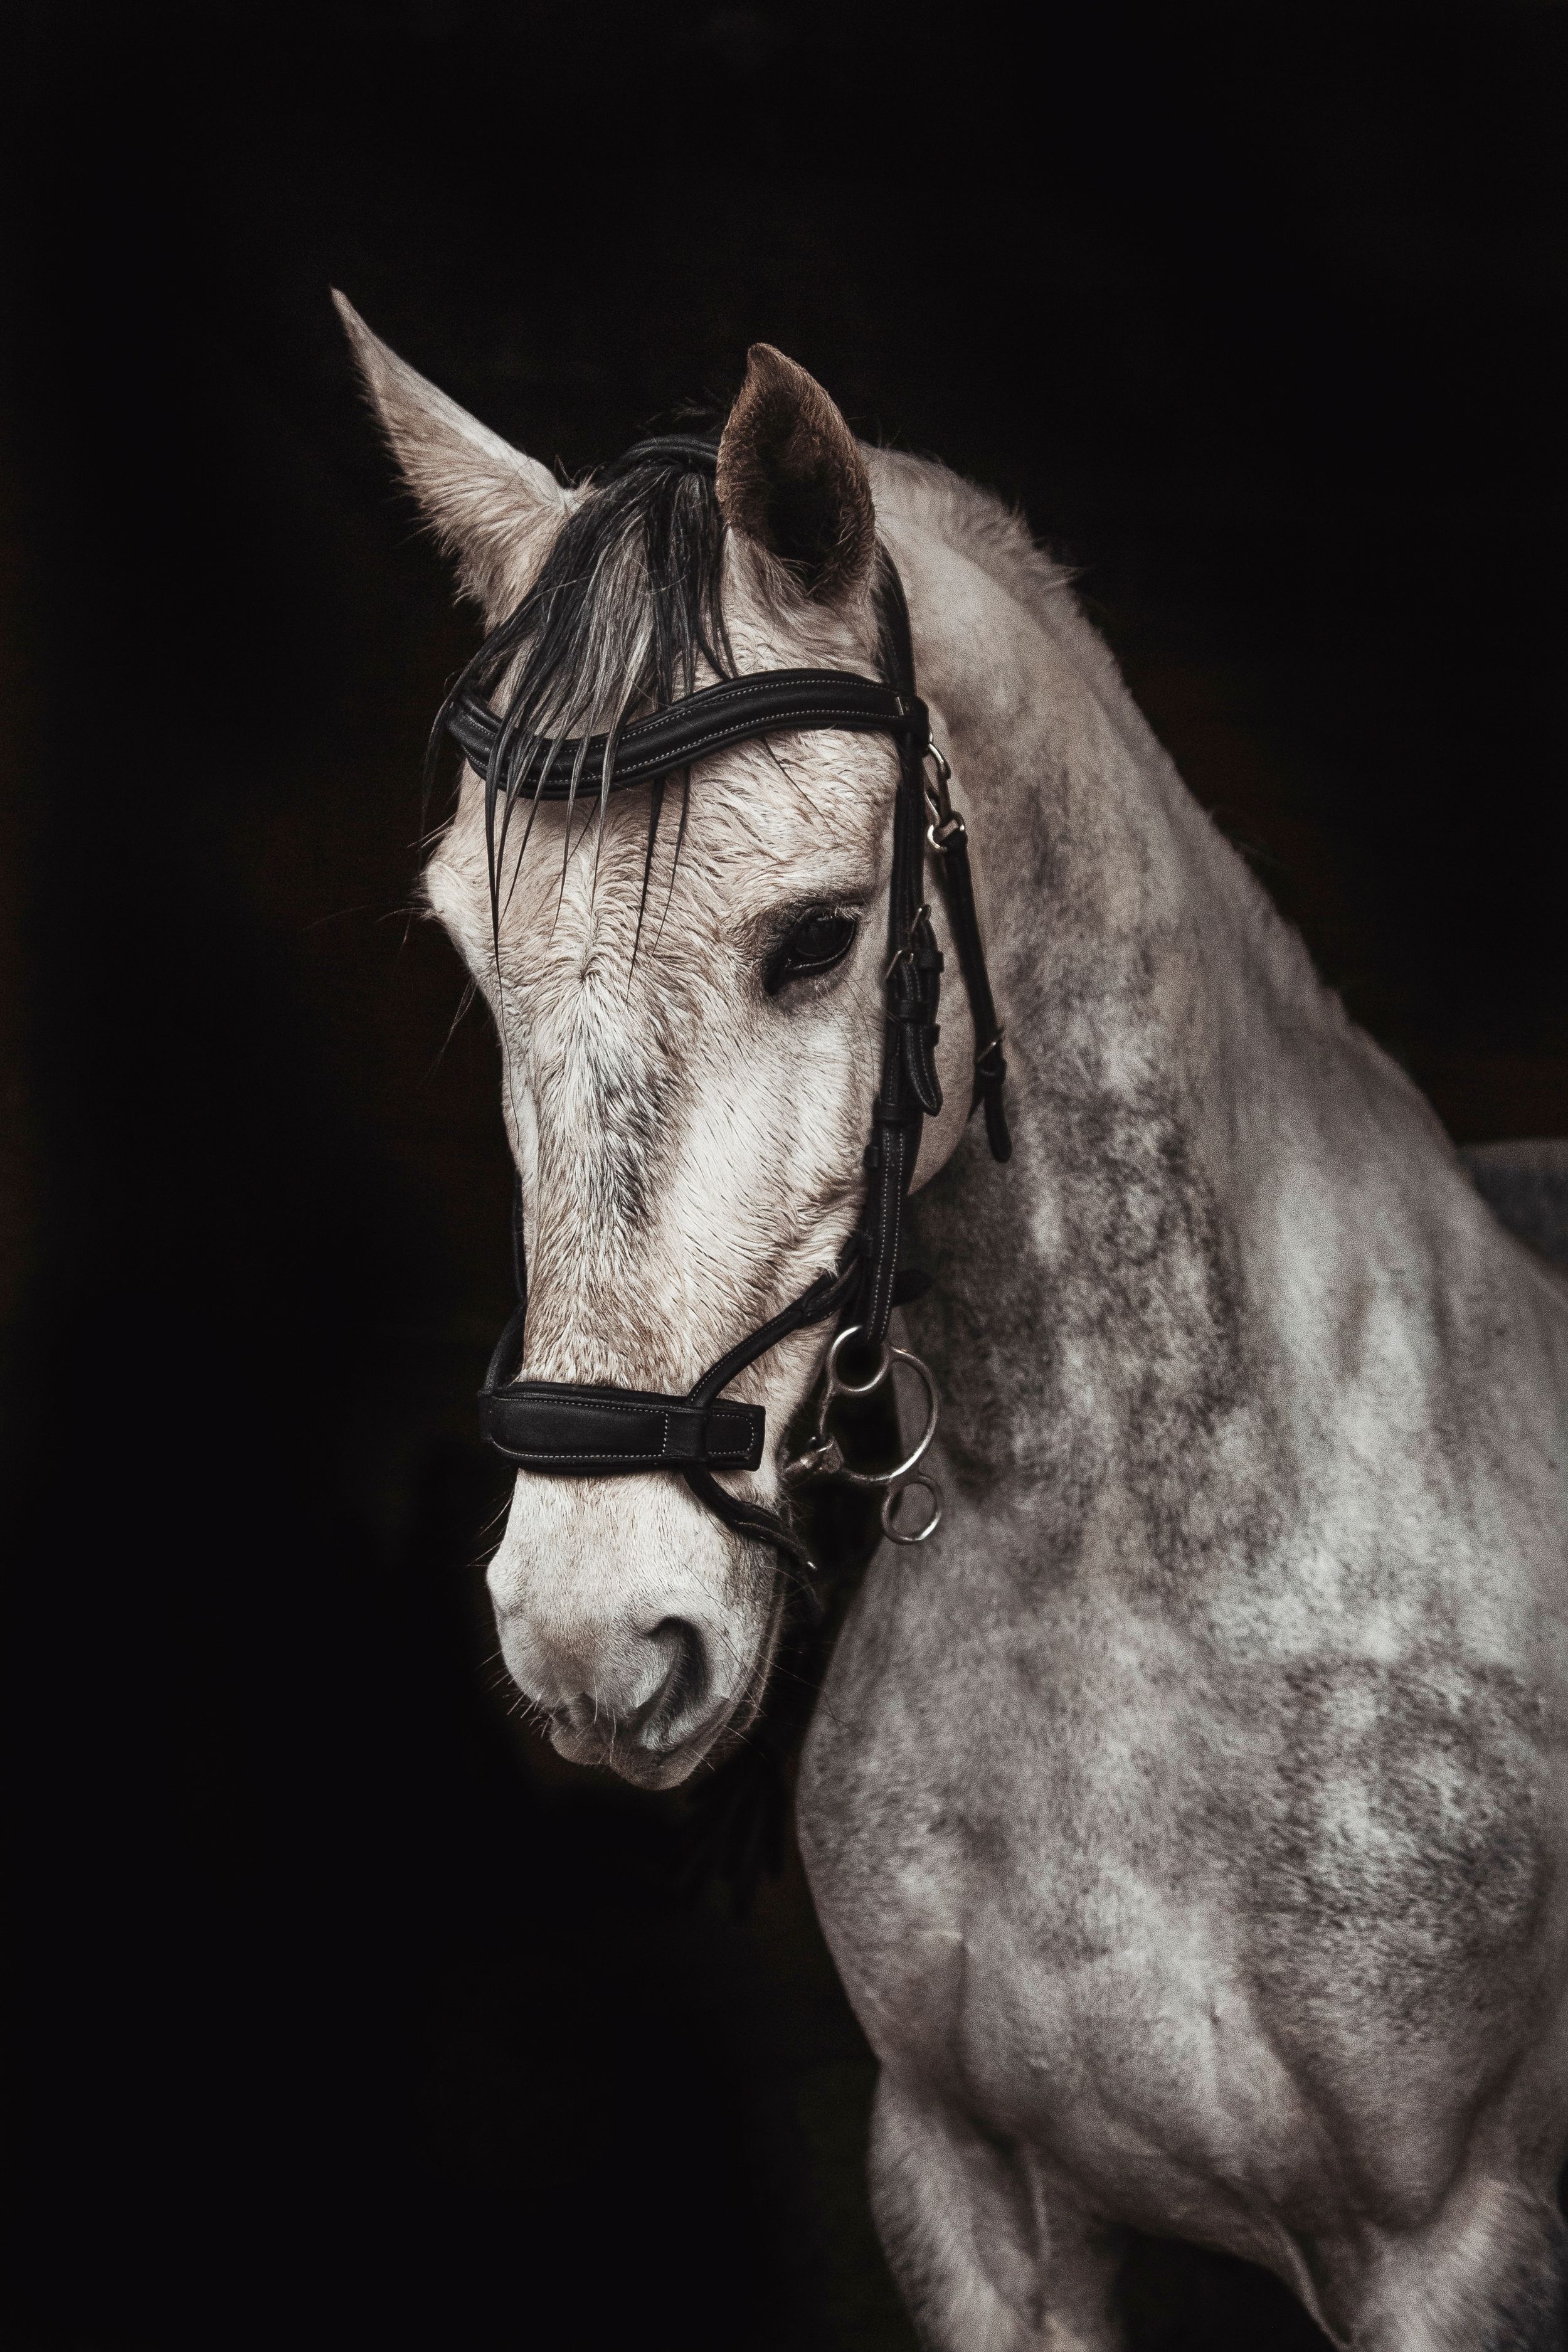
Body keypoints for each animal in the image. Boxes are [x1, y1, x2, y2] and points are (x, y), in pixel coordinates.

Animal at [337, 295, 1568, 2349]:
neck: (1134, 1568)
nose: (594, 1636)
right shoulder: (971, 2198)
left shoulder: (1453, 2243)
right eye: (462, 941)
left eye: (819, 937)